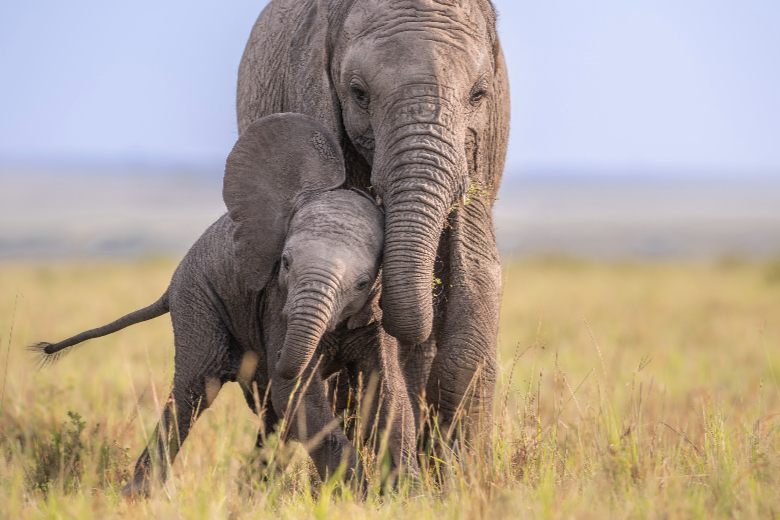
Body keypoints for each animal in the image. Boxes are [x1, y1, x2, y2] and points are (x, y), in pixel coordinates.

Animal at [30, 113, 418, 496]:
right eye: (286, 263)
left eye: (362, 283)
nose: (278, 355)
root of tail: (169, 289)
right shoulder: (276, 299)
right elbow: (297, 395)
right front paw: (359, 496)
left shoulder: (374, 313)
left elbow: (389, 394)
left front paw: (405, 496)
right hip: (196, 299)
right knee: (196, 390)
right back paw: (142, 495)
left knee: (267, 413)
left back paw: (252, 493)